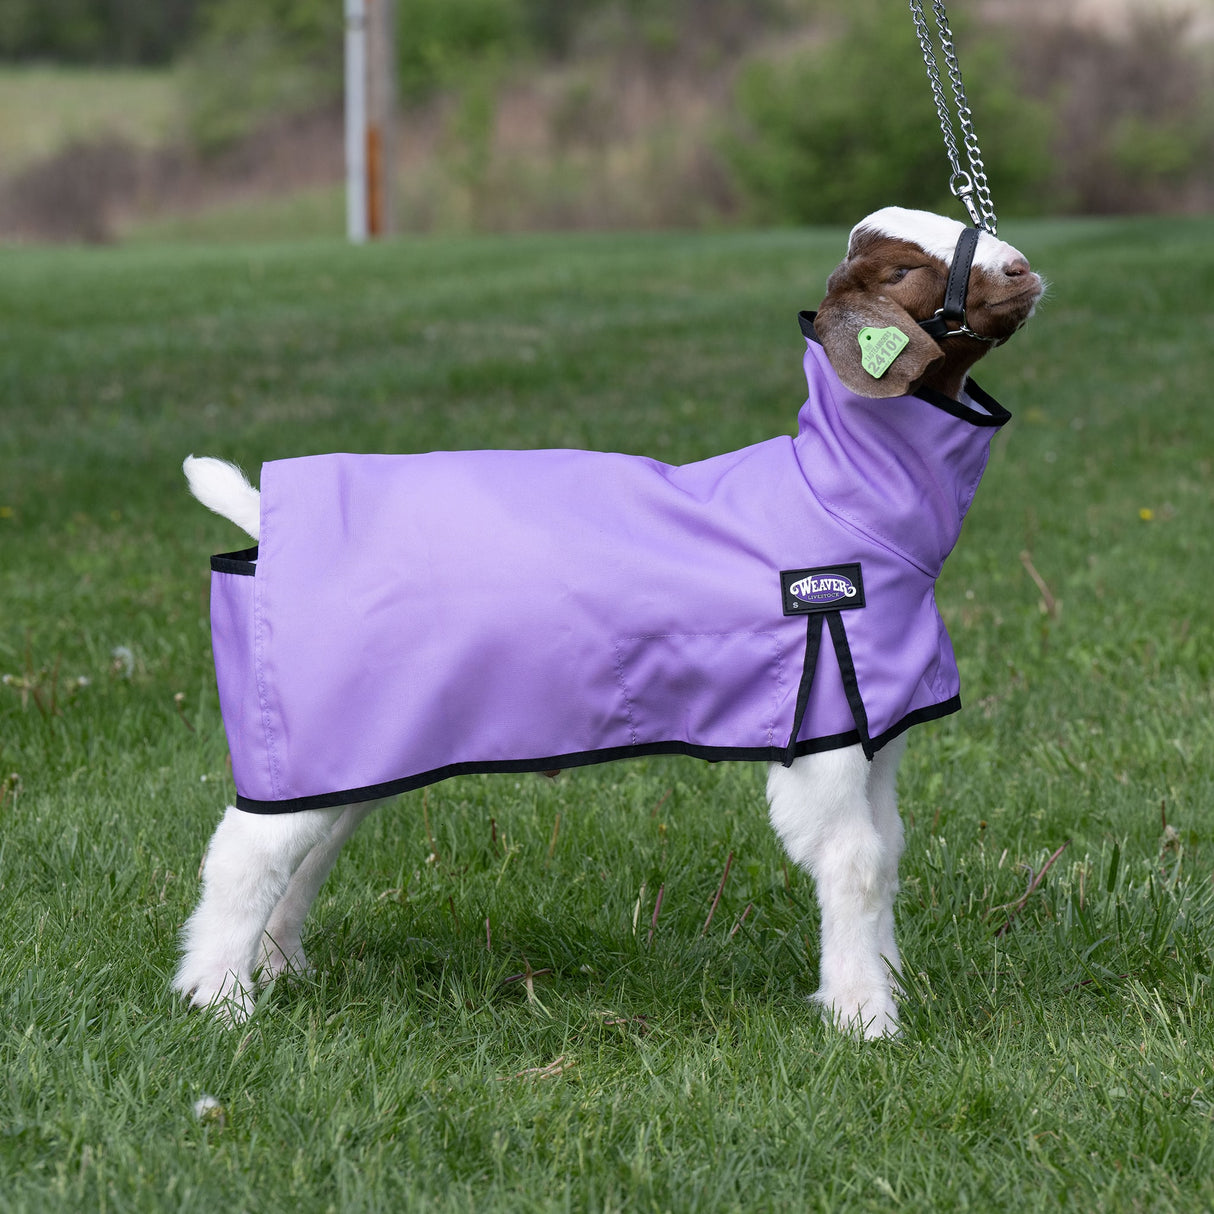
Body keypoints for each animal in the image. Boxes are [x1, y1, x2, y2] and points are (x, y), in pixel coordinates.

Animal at [176, 207, 1042, 1038]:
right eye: (899, 271)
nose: (1021, 269)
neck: (836, 497)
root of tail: (265, 512)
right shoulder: (820, 726)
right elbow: (853, 862)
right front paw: (864, 1019)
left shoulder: (877, 723)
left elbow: (888, 852)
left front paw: (891, 985)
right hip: (317, 716)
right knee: (246, 854)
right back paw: (218, 1000)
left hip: (356, 741)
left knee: (312, 845)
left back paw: (279, 964)